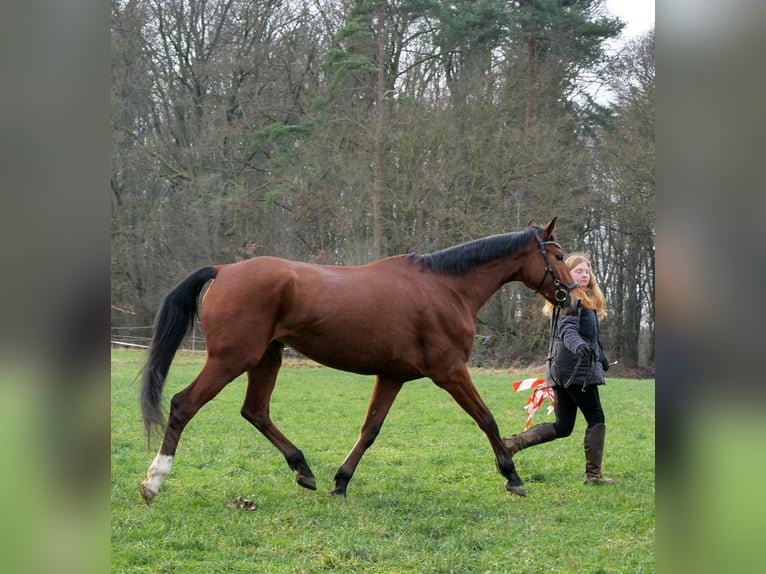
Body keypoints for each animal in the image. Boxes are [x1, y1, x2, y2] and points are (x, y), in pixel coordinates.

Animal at [140, 218, 584, 506]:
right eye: (559, 255)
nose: (576, 299)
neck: (446, 288)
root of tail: (224, 270)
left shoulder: (391, 376)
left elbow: (369, 430)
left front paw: (341, 482)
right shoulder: (450, 372)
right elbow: (487, 419)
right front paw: (512, 476)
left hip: (266, 358)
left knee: (256, 411)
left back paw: (303, 470)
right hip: (231, 359)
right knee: (183, 404)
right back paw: (154, 481)